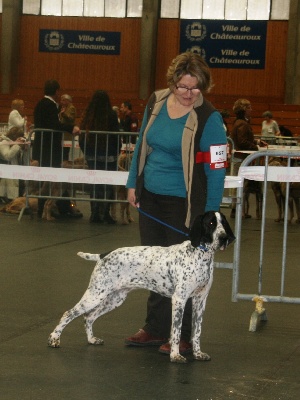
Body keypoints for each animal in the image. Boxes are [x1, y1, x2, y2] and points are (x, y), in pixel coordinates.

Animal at [48, 211, 234, 364]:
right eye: (211, 223)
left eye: (223, 223)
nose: (224, 238)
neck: (200, 254)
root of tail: (103, 255)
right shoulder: (179, 300)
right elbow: (176, 332)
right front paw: (175, 355)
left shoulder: (200, 301)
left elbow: (197, 332)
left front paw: (198, 353)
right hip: (95, 295)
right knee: (69, 313)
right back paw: (54, 339)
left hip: (114, 299)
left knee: (88, 317)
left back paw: (91, 339)